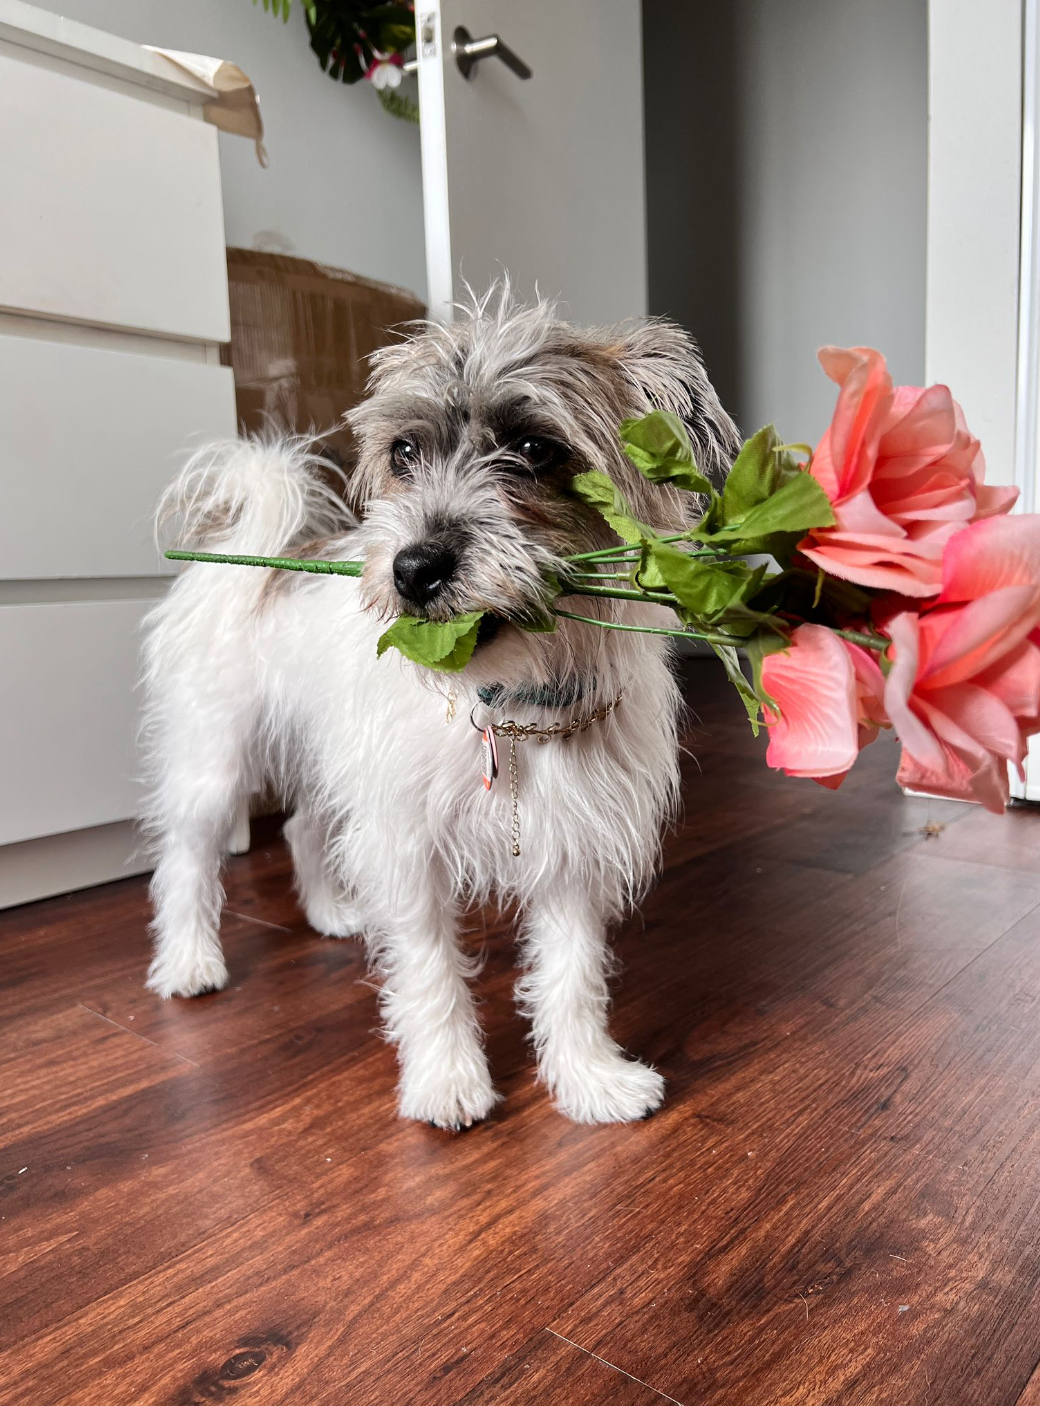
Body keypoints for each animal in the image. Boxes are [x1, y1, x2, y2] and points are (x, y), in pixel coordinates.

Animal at [141, 291, 736, 1124]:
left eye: (535, 448)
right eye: (404, 453)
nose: (412, 569)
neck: (510, 704)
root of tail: (251, 559)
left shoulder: (571, 844)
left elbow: (573, 973)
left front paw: (589, 1078)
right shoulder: (407, 844)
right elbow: (428, 971)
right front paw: (447, 1081)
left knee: (301, 827)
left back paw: (334, 911)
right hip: (215, 764)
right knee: (186, 861)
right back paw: (190, 962)